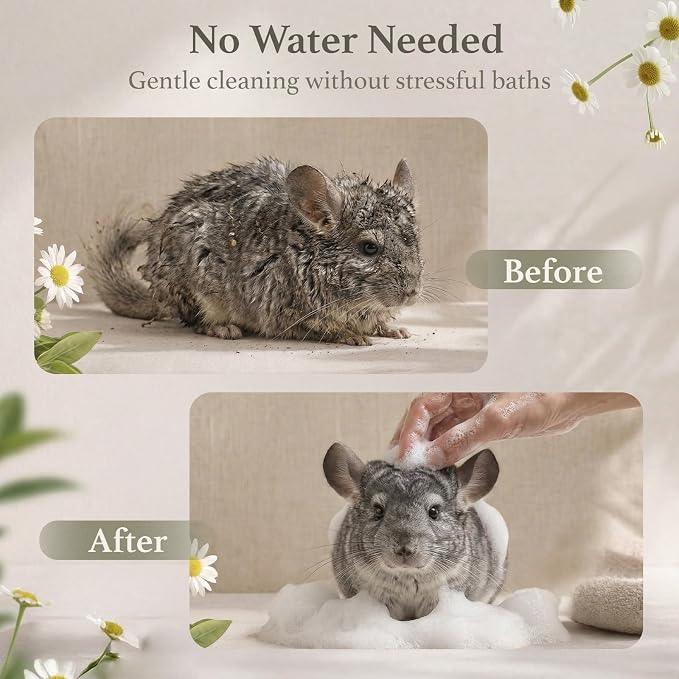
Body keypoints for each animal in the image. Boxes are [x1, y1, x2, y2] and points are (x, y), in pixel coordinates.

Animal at [88, 157, 423, 346]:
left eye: (414, 240)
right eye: (369, 248)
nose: (413, 292)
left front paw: (395, 331)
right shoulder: (285, 312)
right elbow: (322, 329)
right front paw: (352, 337)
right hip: (196, 289)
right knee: (196, 322)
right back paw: (224, 329)